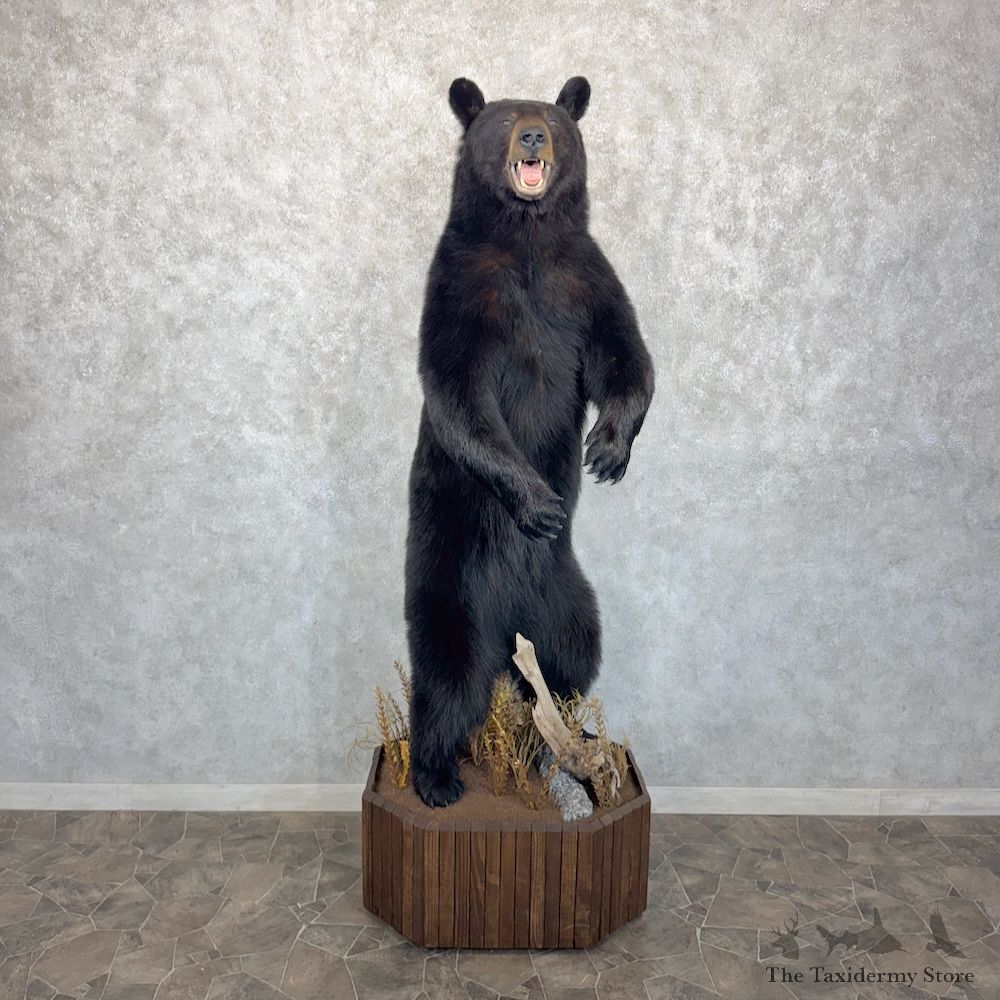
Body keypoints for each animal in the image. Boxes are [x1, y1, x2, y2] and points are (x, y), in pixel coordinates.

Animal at [404, 76, 655, 807]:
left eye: (549, 117)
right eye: (505, 119)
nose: (534, 137)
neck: (527, 236)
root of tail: (507, 624)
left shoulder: (585, 278)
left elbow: (624, 353)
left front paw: (607, 450)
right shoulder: (461, 288)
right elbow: (457, 391)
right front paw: (539, 501)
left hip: (568, 600)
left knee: (573, 658)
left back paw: (557, 744)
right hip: (450, 577)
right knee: (447, 677)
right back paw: (436, 776)